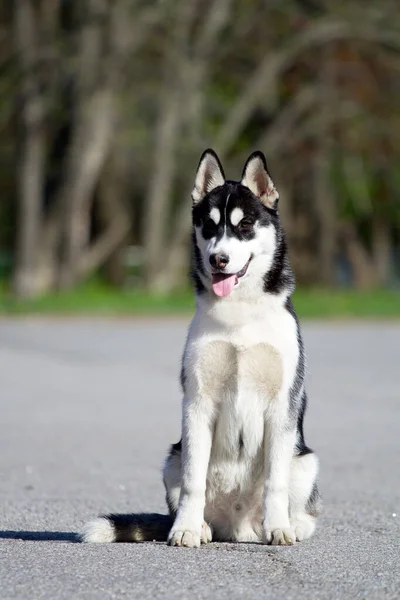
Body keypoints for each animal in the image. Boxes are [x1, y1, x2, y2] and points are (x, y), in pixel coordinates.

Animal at [83, 151, 322, 548]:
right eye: (209, 227)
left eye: (245, 225)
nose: (218, 260)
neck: (239, 315)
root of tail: (238, 528)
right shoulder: (198, 402)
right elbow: (193, 484)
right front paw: (185, 529)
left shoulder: (281, 407)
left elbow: (276, 483)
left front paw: (280, 527)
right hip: (173, 456)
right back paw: (200, 526)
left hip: (305, 459)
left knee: (298, 499)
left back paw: (291, 525)